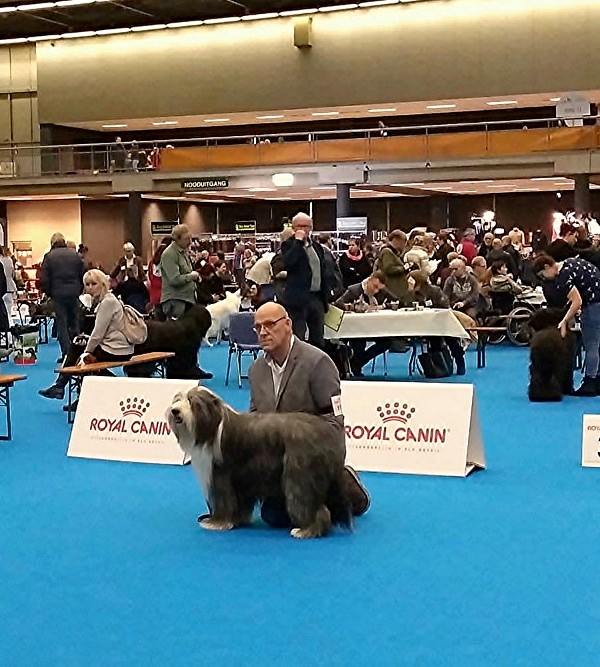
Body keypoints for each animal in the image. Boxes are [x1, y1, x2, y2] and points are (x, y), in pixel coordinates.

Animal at [165, 386, 352, 536]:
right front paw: (237, 520)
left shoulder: (221, 475)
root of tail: (325, 434)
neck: (211, 426)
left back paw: (305, 530)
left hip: (300, 475)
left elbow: (224, 499)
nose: (174, 411)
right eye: (177, 399)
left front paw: (217, 523)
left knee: (311, 504)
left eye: (192, 401)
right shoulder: (241, 479)